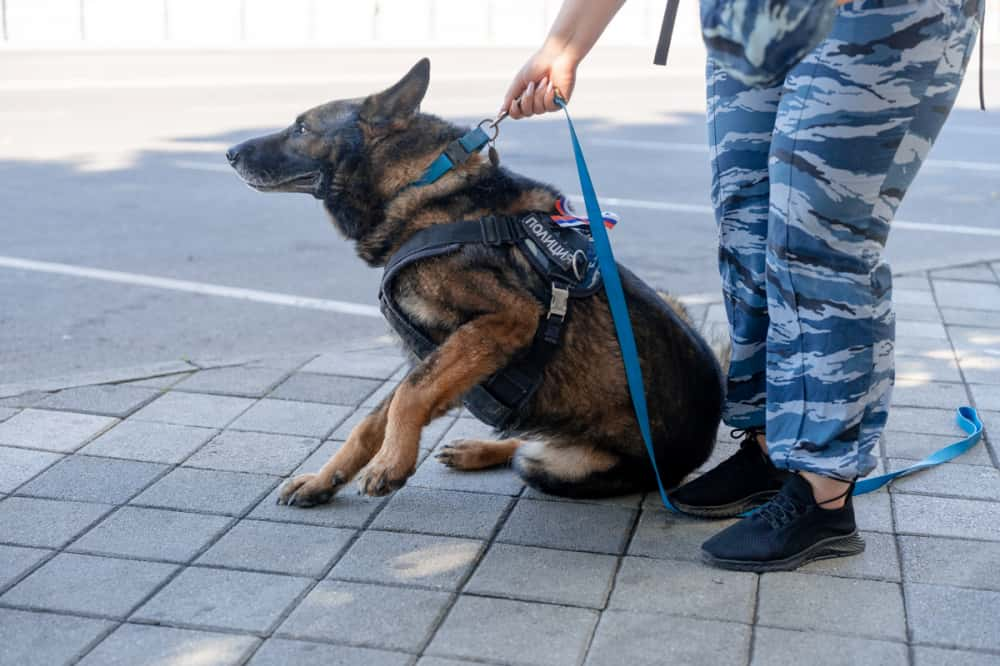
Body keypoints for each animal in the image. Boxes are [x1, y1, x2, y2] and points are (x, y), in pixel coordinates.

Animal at [229, 59, 724, 506]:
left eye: (300, 128)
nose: (230, 153)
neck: (417, 186)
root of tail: (695, 456)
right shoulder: (444, 350)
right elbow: (373, 420)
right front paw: (325, 479)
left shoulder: (508, 319)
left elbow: (408, 396)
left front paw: (390, 462)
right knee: (523, 441)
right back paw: (477, 449)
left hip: (550, 467)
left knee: (529, 449)